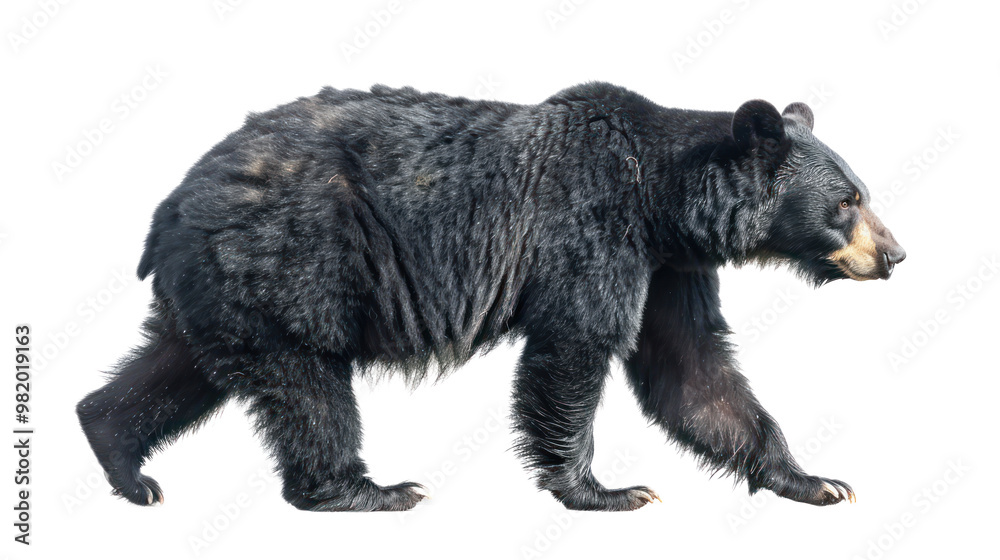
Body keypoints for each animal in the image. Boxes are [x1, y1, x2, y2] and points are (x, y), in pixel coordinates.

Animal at [76, 82, 905, 512]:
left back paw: (124, 461)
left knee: (177, 368)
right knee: (307, 386)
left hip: (219, 288)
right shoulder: (592, 228)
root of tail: (172, 201)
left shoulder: (670, 268)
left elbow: (693, 369)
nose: (895, 254)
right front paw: (606, 490)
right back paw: (370, 490)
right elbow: (574, 349)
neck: (660, 199)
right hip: (293, 261)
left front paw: (817, 480)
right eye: (847, 202)